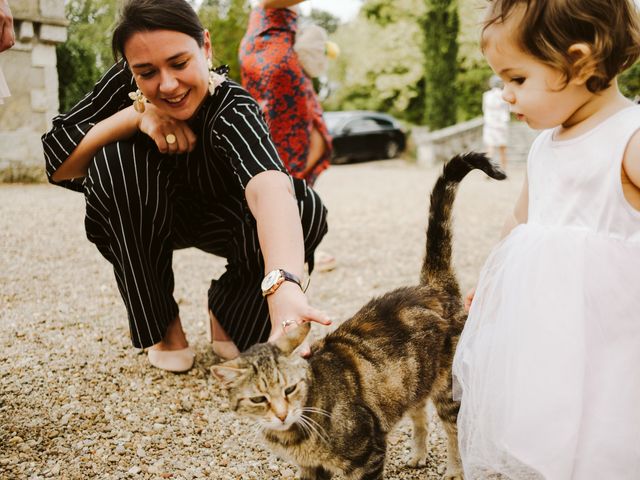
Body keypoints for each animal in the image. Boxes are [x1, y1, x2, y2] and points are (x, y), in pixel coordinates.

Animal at [212, 155, 508, 480]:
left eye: (290, 389)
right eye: (258, 399)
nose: (281, 414)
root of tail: (432, 285)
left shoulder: (368, 453)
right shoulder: (312, 467)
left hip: (448, 388)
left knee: (454, 429)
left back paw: (455, 469)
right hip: (410, 382)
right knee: (419, 415)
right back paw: (418, 455)